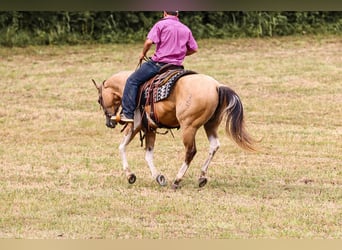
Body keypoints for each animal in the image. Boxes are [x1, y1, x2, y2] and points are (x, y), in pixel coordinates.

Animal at [93, 67, 256, 188]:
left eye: (99, 100)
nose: (109, 123)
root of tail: (216, 86)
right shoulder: (150, 128)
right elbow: (148, 155)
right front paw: (159, 177)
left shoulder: (136, 125)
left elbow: (122, 147)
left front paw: (130, 175)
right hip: (210, 125)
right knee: (214, 146)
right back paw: (202, 177)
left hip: (189, 127)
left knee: (191, 151)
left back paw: (177, 180)